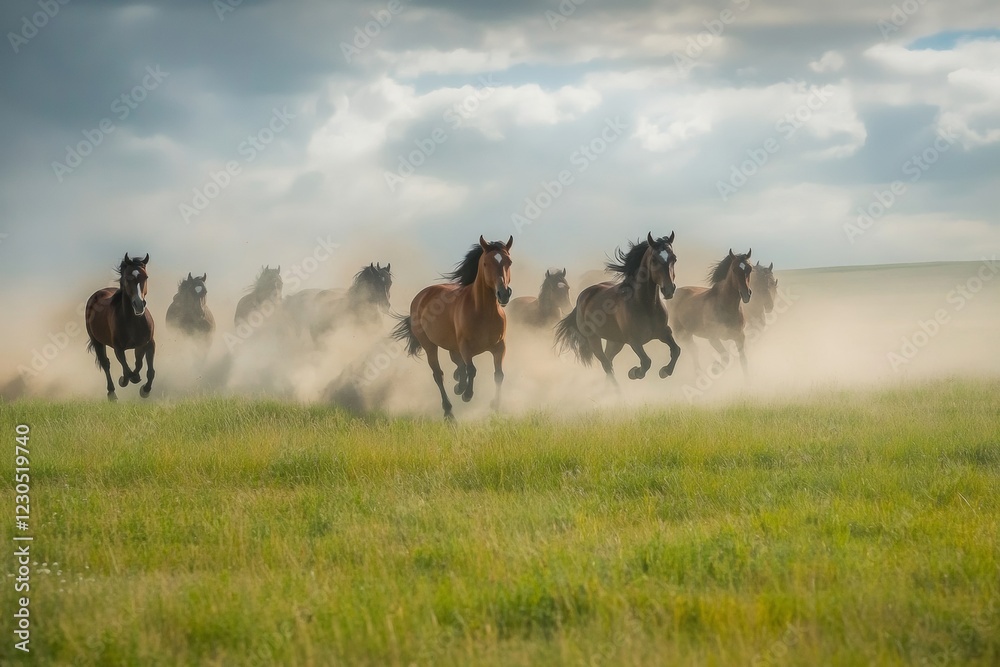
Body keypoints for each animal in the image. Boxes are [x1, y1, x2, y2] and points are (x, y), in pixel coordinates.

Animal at [85, 253, 156, 401]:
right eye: (128, 278)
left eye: (145, 277)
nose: (139, 305)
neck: (133, 322)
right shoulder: (118, 348)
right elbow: (128, 370)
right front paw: (124, 380)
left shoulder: (149, 343)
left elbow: (147, 369)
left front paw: (145, 390)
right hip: (97, 342)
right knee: (106, 364)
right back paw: (112, 394)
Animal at [391, 236, 512, 420]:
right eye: (485, 263)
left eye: (509, 262)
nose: (503, 294)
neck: (483, 312)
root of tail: (421, 296)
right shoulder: (465, 346)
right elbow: (472, 369)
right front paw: (467, 395)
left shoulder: (499, 347)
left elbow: (499, 375)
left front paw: (495, 406)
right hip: (429, 345)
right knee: (438, 374)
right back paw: (449, 412)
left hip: (452, 346)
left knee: (457, 365)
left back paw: (458, 385)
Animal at [554, 232, 680, 383]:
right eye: (654, 260)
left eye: (674, 258)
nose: (669, 290)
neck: (646, 306)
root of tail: (583, 296)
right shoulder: (634, 340)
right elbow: (646, 361)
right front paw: (634, 372)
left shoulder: (663, 332)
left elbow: (676, 350)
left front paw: (665, 371)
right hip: (594, 339)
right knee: (607, 365)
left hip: (615, 341)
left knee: (609, 361)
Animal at [668, 249, 753, 379]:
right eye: (734, 269)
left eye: (749, 269)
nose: (746, 294)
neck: (725, 306)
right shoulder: (713, 338)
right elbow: (726, 358)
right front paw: (715, 368)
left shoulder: (739, 337)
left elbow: (744, 361)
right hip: (680, 333)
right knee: (690, 350)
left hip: (688, 332)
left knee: (694, 350)